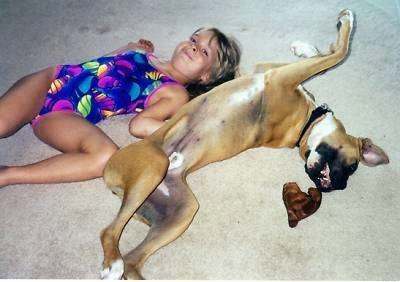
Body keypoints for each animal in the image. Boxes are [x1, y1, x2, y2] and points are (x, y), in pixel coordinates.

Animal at [99, 9, 388, 280]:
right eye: (352, 166)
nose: (336, 186)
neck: (305, 122)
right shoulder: (275, 74)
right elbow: (335, 55)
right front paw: (328, 33)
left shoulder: (274, 75)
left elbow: (331, 57)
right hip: (155, 168)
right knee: (111, 233)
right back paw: (113, 263)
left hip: (181, 209)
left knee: (127, 255)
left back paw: (115, 265)